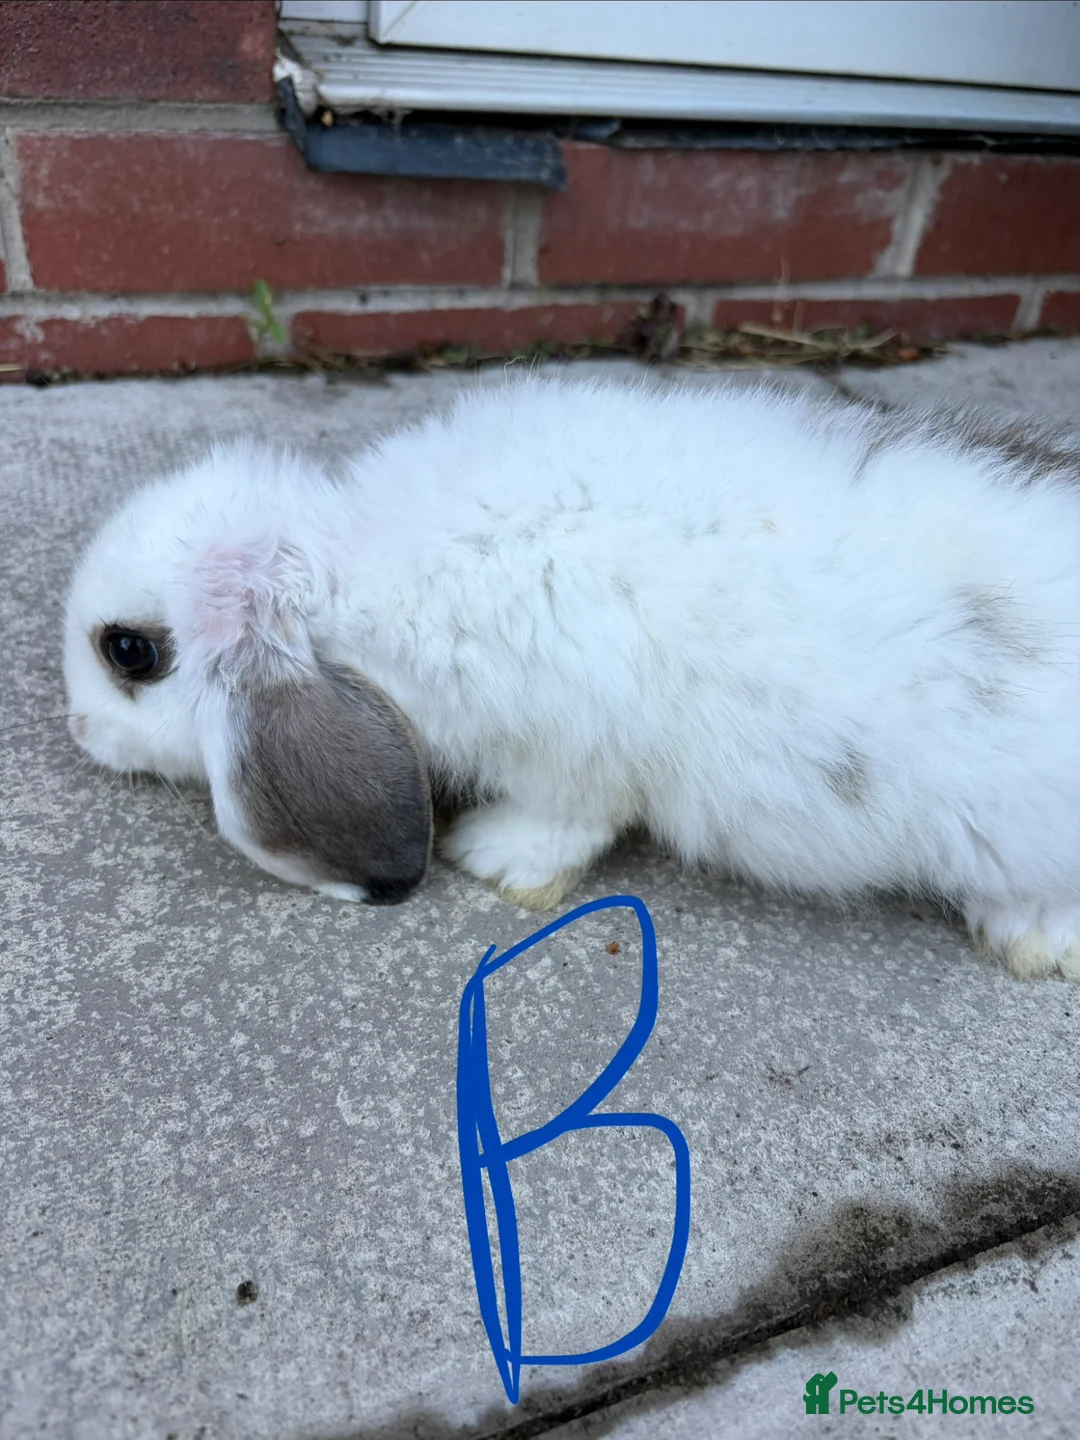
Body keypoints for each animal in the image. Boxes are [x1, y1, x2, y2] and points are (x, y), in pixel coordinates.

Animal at [62, 374, 1080, 978]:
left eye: (129, 652)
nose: (75, 731)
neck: (351, 575)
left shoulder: (569, 751)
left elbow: (565, 824)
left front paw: (491, 861)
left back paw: (1029, 940)